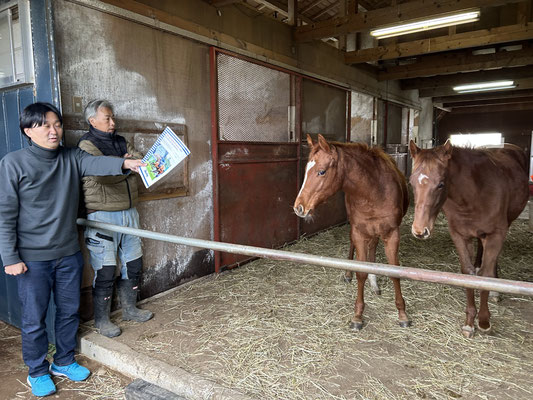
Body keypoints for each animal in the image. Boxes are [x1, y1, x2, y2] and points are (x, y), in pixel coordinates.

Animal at [294, 133, 410, 330]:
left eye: (322, 171)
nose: (299, 208)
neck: (373, 193)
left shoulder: (392, 234)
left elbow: (394, 272)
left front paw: (402, 314)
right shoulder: (359, 233)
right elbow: (360, 272)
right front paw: (357, 316)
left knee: (372, 248)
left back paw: (374, 283)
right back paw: (349, 274)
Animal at [408, 141, 528, 338]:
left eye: (441, 184)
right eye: (411, 182)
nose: (420, 230)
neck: (474, 196)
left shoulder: (496, 234)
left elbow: (486, 276)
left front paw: (484, 321)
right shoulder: (459, 235)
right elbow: (468, 273)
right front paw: (469, 322)